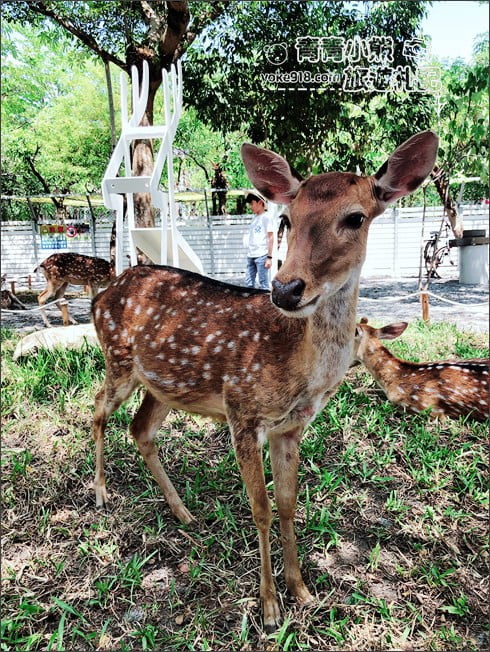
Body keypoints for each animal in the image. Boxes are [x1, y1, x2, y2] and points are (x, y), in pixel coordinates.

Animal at [91, 131, 439, 631]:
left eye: (355, 217)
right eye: (287, 218)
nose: (286, 289)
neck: (300, 369)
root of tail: (102, 294)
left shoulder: (290, 427)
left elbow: (290, 504)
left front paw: (303, 592)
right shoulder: (242, 412)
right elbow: (261, 508)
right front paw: (270, 608)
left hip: (165, 385)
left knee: (140, 429)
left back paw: (183, 512)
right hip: (117, 360)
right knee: (98, 409)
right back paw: (100, 493)